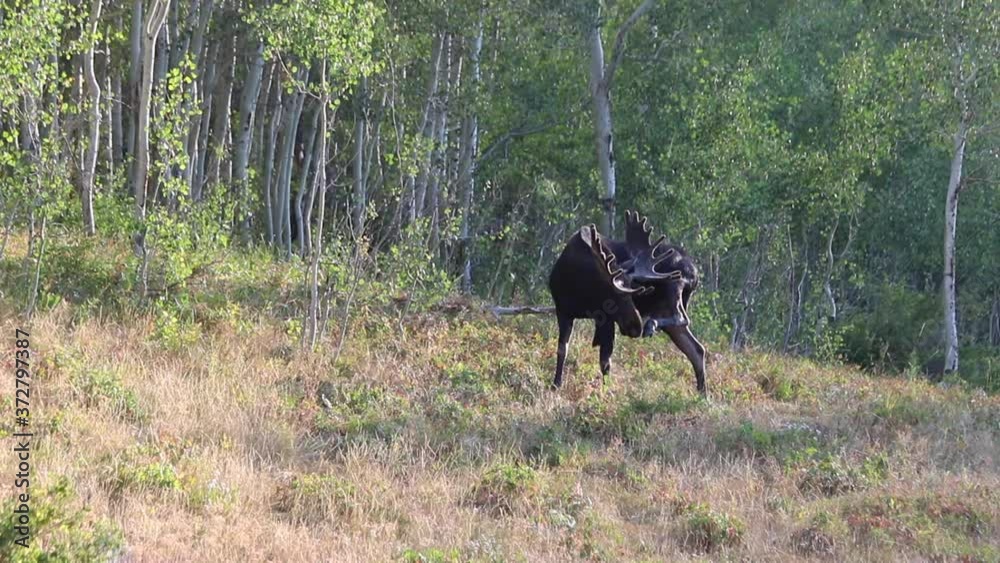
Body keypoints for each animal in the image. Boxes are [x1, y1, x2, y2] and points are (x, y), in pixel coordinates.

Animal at [548, 210, 707, 395]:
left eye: (634, 292)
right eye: (615, 297)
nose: (635, 327)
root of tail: (695, 273)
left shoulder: (606, 320)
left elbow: (605, 361)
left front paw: (605, 392)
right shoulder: (563, 311)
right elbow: (562, 350)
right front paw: (556, 384)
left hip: (674, 286)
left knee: (682, 318)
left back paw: (650, 325)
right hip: (666, 310)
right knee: (696, 349)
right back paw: (703, 394)